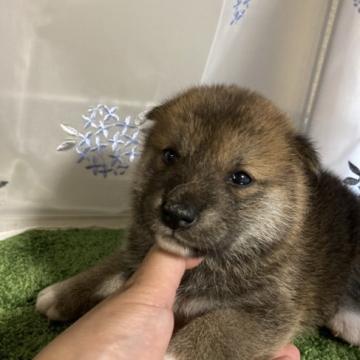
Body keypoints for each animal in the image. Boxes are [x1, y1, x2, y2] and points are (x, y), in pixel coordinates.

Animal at [35, 86, 360, 358]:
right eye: (170, 155)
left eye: (241, 178)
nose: (175, 213)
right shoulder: (135, 256)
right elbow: (108, 269)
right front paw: (62, 293)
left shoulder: (271, 309)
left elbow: (216, 329)